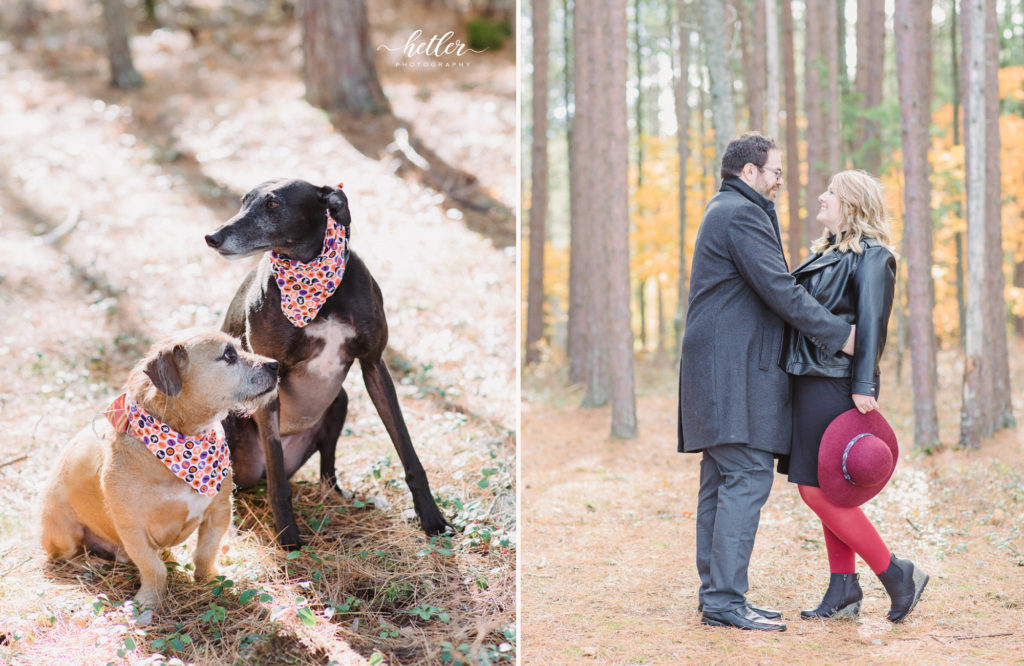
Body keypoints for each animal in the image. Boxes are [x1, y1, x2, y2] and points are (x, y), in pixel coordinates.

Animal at [39, 329, 278, 606]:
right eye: (229, 355)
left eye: (241, 347)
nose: (276, 365)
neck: (185, 443)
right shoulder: (133, 530)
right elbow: (153, 568)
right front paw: (149, 601)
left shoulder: (219, 511)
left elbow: (205, 553)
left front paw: (209, 581)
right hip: (64, 532)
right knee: (64, 557)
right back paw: (91, 564)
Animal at [205, 176, 450, 545]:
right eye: (244, 201)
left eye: (273, 204)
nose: (212, 236)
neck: (313, 279)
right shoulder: (268, 379)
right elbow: (279, 484)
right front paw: (288, 538)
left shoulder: (374, 365)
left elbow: (407, 450)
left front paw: (432, 518)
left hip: (339, 402)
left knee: (326, 466)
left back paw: (338, 494)